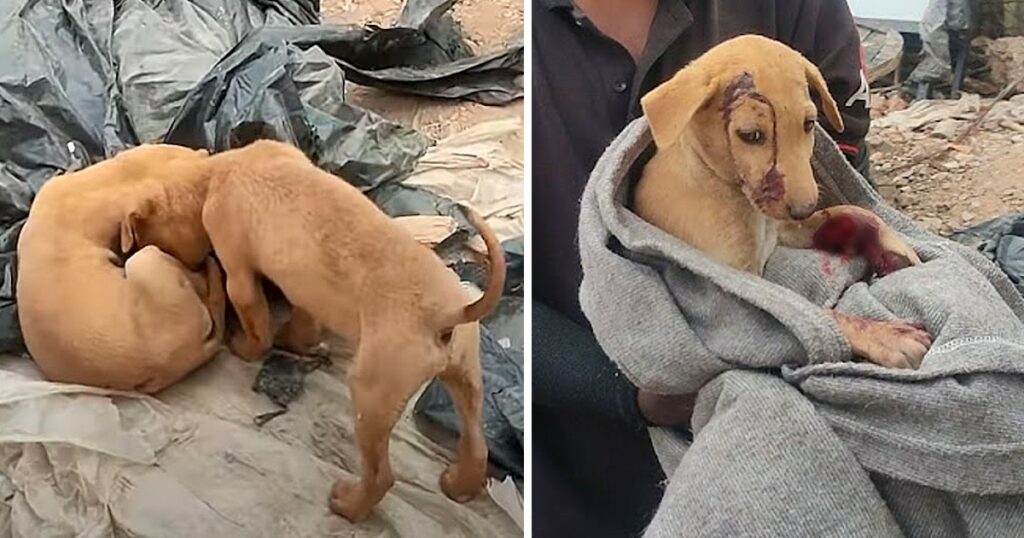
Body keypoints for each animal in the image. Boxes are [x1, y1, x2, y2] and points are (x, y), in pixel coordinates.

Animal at [198, 139, 503, 520]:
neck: (239, 162)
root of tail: (448, 313)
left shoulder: (239, 276)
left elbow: (258, 327)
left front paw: (245, 347)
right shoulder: (307, 292)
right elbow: (302, 322)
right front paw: (296, 341)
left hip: (370, 396)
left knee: (381, 476)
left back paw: (348, 505)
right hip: (465, 378)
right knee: (477, 445)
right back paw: (459, 486)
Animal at [634, 34, 933, 368]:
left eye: (809, 123)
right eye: (750, 135)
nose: (804, 209)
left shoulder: (783, 231)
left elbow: (855, 211)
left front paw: (896, 250)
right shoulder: (735, 291)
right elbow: (809, 313)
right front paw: (886, 336)